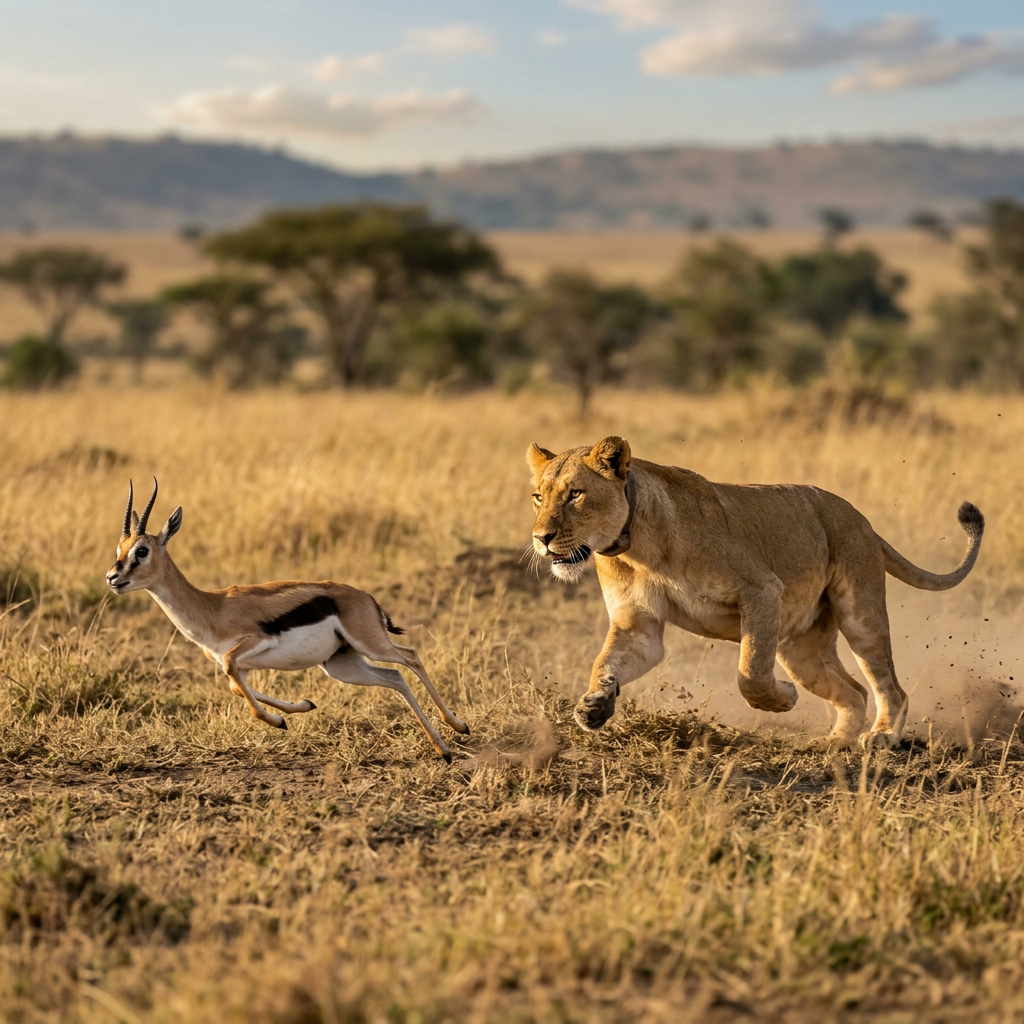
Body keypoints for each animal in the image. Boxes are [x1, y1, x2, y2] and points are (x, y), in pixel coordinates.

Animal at [105, 479, 469, 762]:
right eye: (119, 549)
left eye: (141, 551)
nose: (112, 578)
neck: (213, 607)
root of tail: (365, 597)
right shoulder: (242, 665)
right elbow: (236, 687)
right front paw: (302, 707)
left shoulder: (249, 645)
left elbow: (239, 685)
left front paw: (279, 721)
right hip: (343, 665)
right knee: (395, 677)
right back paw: (443, 746)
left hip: (371, 644)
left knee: (411, 657)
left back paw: (456, 731)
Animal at [527, 436, 984, 749]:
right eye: (537, 497)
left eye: (575, 494)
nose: (541, 538)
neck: (637, 547)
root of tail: (864, 521)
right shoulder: (637, 623)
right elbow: (607, 662)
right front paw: (594, 706)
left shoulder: (762, 590)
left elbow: (750, 673)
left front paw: (782, 701)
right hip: (801, 650)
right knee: (853, 691)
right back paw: (835, 744)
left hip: (860, 615)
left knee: (891, 687)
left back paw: (882, 737)